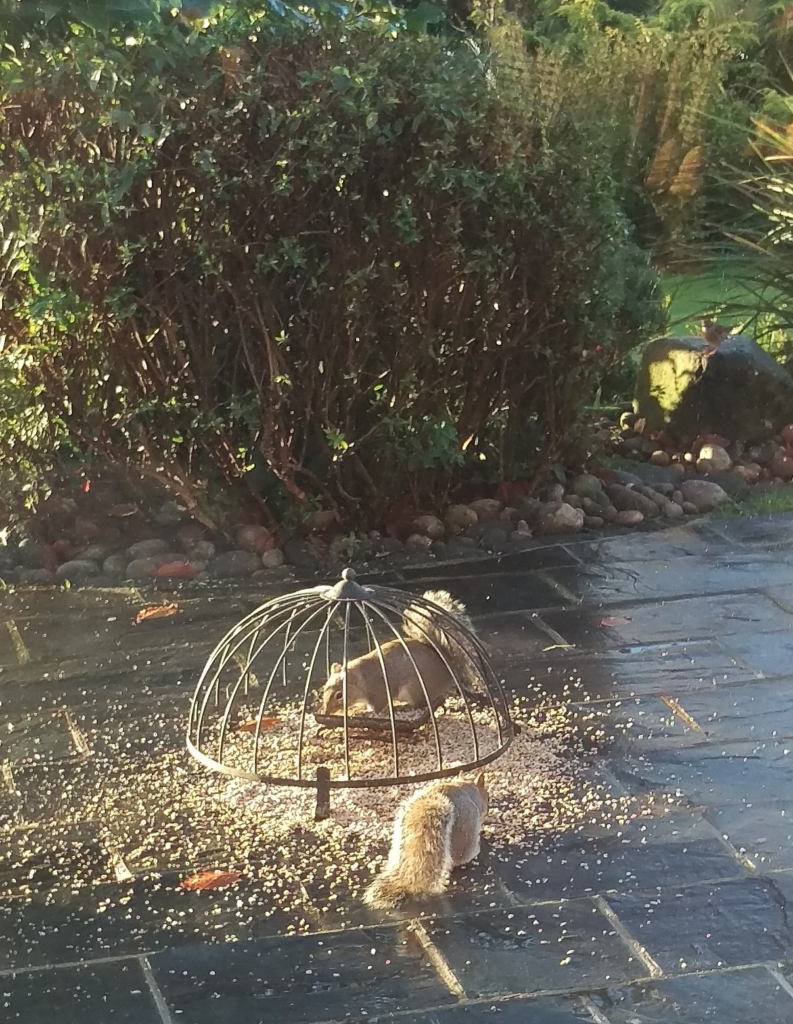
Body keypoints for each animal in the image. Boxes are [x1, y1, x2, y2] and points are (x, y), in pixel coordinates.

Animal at [320, 589, 483, 717]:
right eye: (324, 690)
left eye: (339, 695)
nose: (326, 712)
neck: (361, 680)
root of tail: (448, 671)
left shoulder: (378, 691)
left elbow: (377, 707)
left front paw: (364, 711)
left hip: (414, 688)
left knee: (420, 703)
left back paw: (404, 707)